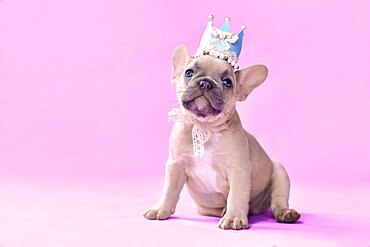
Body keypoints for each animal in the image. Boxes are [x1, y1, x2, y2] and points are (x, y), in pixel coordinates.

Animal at [142, 45, 300, 231]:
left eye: (227, 82)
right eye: (189, 72)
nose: (206, 82)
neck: (205, 127)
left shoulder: (238, 169)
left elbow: (236, 195)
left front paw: (233, 217)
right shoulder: (175, 165)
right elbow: (169, 189)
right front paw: (160, 208)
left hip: (279, 171)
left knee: (278, 200)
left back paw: (285, 213)